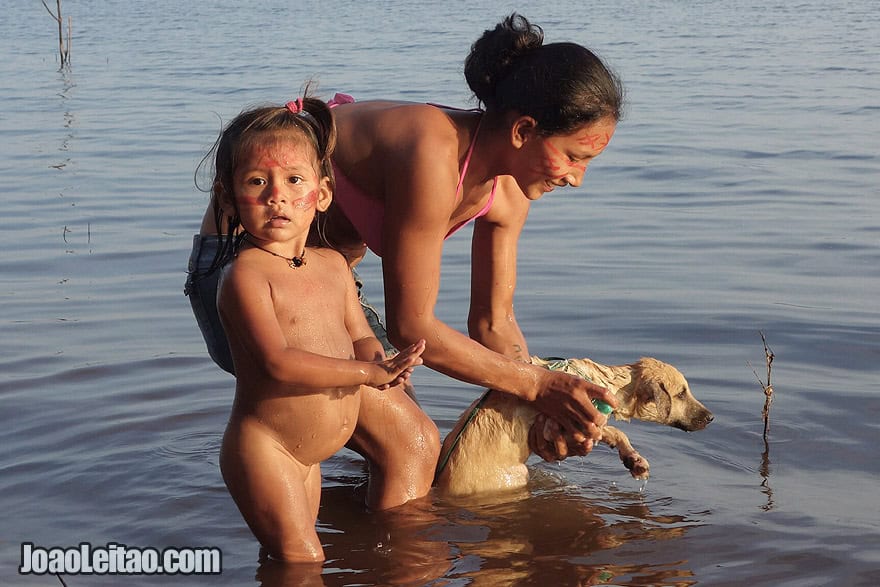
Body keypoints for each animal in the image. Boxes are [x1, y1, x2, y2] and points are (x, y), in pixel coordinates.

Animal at [434, 356, 716, 498]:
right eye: (681, 393)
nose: (712, 418)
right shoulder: (575, 420)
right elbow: (616, 431)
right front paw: (636, 461)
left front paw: (632, 459)